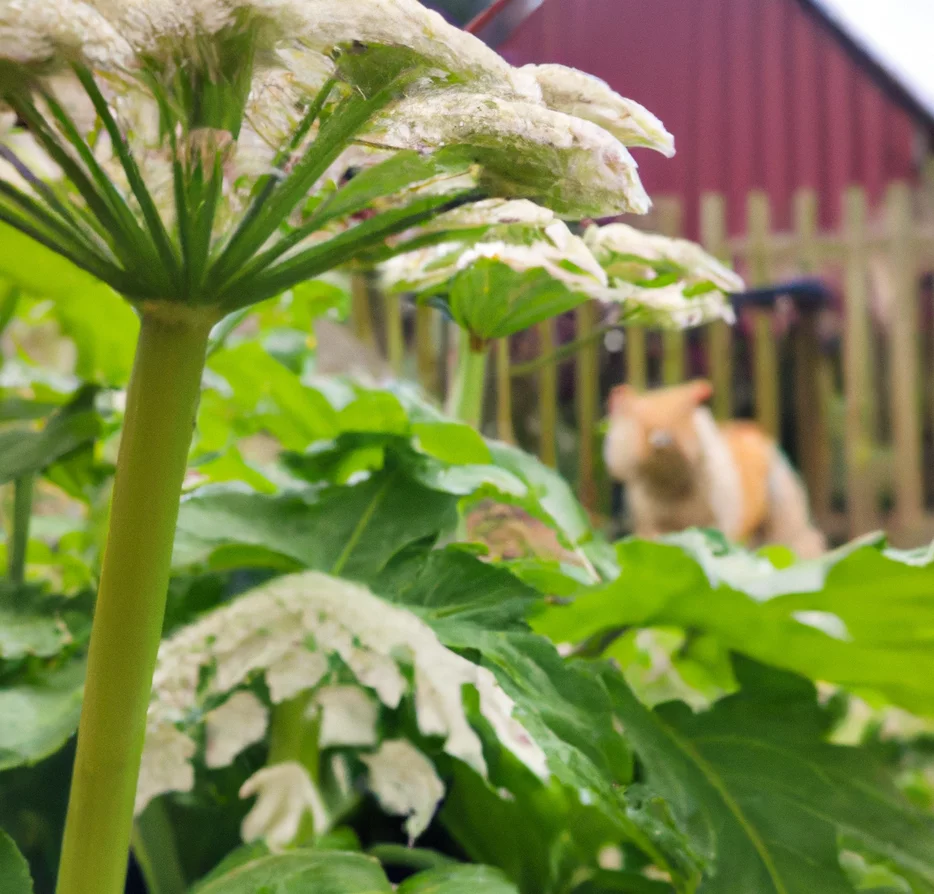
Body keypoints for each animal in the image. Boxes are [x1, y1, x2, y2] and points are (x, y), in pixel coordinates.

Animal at [604, 380, 824, 560]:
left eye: (682, 417)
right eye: (641, 425)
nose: (661, 440)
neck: (671, 487)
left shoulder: (717, 525)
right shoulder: (649, 526)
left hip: (783, 512)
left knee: (796, 540)